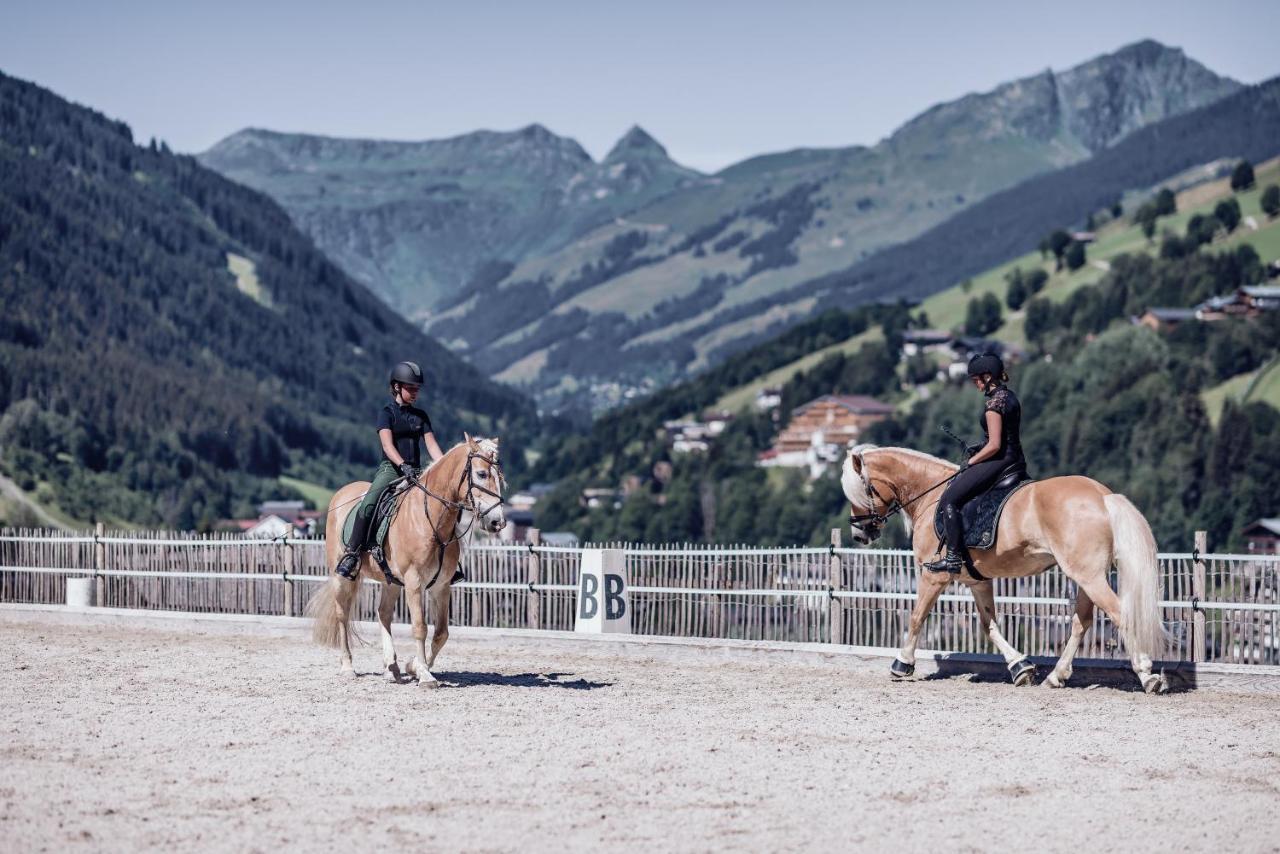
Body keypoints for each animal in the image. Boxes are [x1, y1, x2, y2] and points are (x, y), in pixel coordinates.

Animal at [307, 435, 506, 686]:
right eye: (481, 474)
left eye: (500, 477)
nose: (497, 522)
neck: (431, 518)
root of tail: (342, 493)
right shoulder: (414, 582)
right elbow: (420, 627)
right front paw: (425, 675)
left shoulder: (441, 585)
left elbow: (441, 633)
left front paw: (414, 667)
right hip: (342, 577)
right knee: (342, 613)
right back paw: (347, 667)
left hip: (390, 580)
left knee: (383, 614)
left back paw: (391, 667)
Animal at [839, 448, 1172, 696]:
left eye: (863, 490)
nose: (860, 535)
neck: (929, 495)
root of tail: (1103, 495)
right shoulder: (977, 581)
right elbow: (990, 626)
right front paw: (1020, 668)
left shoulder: (934, 576)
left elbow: (917, 616)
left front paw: (902, 664)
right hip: (1086, 577)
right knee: (1082, 622)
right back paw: (1055, 676)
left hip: (1089, 576)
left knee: (1119, 614)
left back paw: (1147, 675)